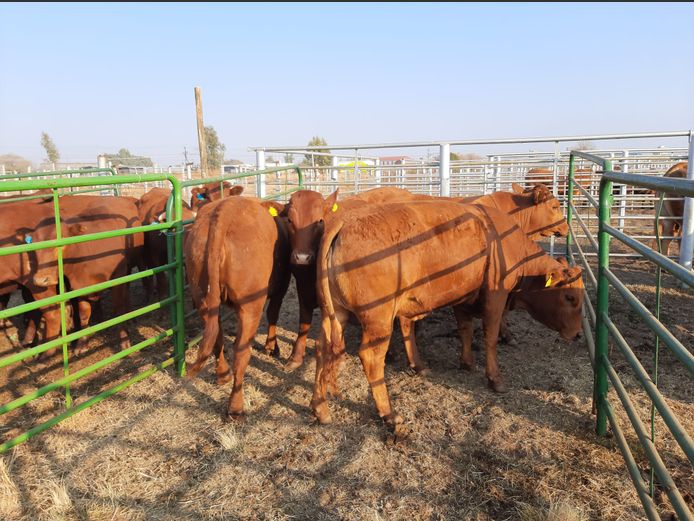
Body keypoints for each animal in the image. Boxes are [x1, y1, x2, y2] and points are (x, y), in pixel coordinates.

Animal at [185, 195, 290, 418]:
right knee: (241, 353)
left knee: (217, 337)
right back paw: (236, 407)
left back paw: (222, 375)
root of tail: (226, 208)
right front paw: (272, 347)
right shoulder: (281, 287)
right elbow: (273, 314)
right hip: (250, 306)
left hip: (203, 298)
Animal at [312, 201, 584, 432]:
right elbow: (490, 338)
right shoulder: (495, 299)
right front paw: (495, 379)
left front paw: (467, 362)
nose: (578, 334)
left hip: (333, 314)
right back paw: (389, 414)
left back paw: (321, 407)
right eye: (570, 298)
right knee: (370, 358)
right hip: (378, 320)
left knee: (324, 350)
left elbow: (465, 330)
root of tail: (345, 222)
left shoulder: (463, 298)